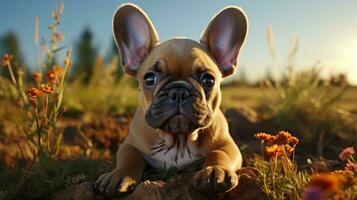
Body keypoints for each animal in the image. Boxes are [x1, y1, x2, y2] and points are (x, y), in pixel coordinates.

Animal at [93, 3, 246, 196]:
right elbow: (129, 158)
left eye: (208, 80)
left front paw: (214, 172)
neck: (178, 140)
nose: (178, 91)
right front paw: (118, 175)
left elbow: (219, 154)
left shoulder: (227, 144)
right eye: (149, 79)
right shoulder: (130, 144)